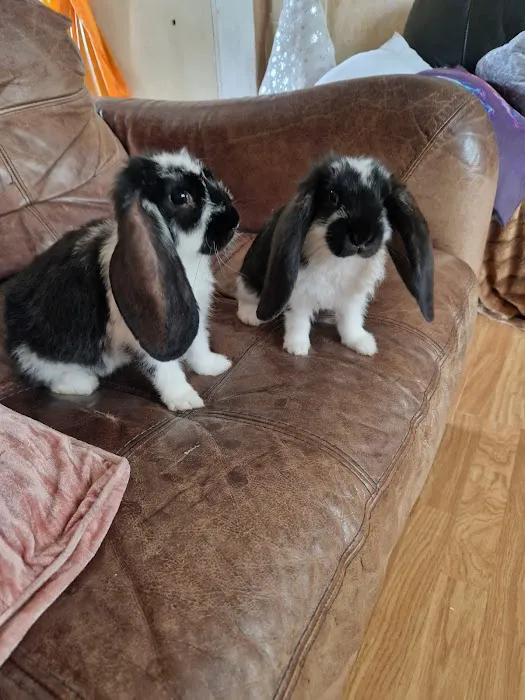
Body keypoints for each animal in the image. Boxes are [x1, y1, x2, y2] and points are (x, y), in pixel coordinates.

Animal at [5, 149, 240, 411]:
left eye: (208, 175)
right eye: (180, 197)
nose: (234, 220)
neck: (185, 259)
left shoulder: (191, 314)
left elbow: (198, 344)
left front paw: (214, 366)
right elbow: (165, 368)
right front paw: (184, 400)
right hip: (38, 352)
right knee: (46, 373)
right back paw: (81, 383)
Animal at [236, 155, 433, 357]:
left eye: (384, 201)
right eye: (333, 196)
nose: (362, 237)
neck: (339, 260)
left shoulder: (353, 298)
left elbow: (350, 321)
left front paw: (362, 344)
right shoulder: (298, 293)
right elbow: (298, 320)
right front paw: (297, 347)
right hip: (251, 275)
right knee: (245, 295)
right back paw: (250, 316)